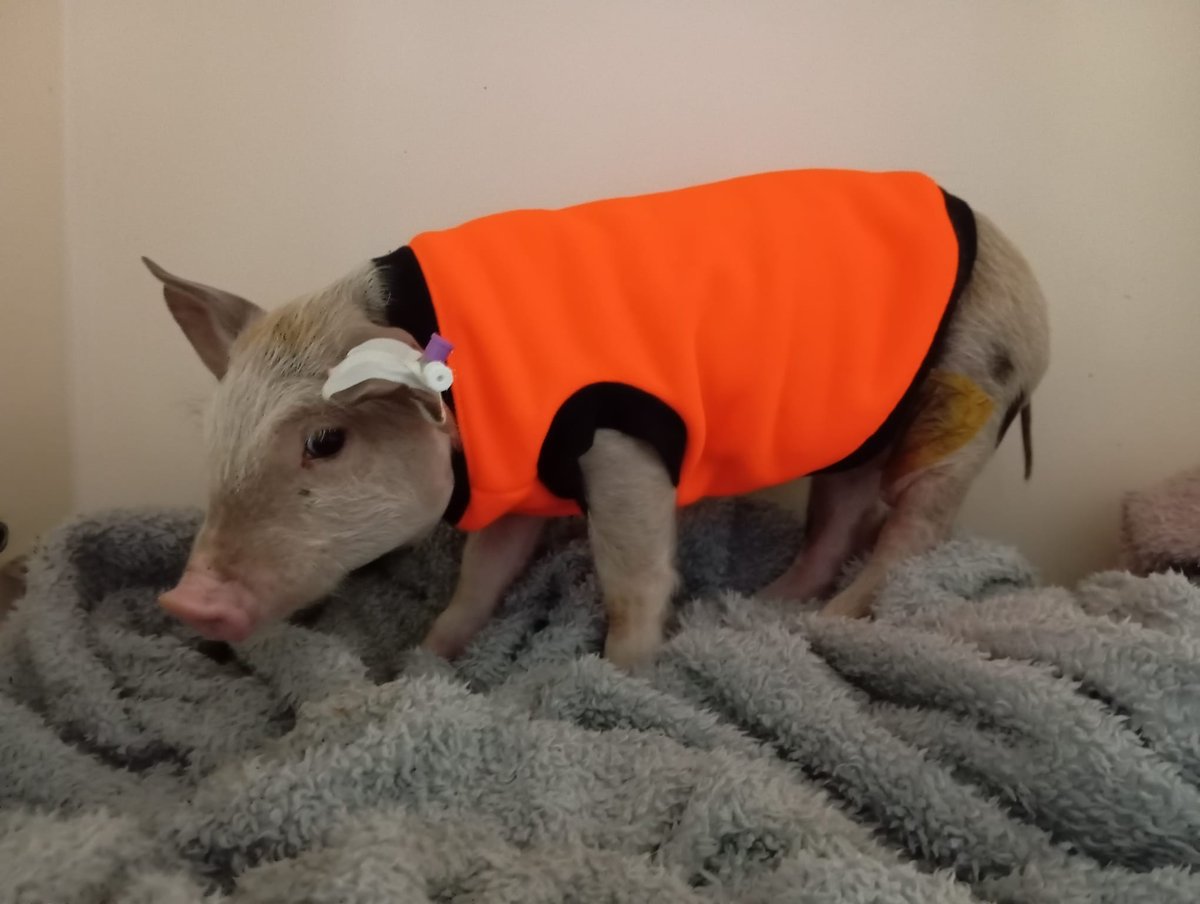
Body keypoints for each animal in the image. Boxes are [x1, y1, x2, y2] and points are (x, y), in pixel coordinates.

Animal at [148, 170, 1049, 669]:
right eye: (213, 436)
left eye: (325, 441)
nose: (185, 603)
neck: (467, 400)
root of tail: (1034, 291)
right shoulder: (512, 482)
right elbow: (480, 578)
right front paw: (417, 664)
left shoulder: (619, 443)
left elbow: (632, 574)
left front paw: (624, 675)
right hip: (868, 427)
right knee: (844, 512)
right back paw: (774, 602)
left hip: (974, 395)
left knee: (915, 531)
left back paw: (831, 620)